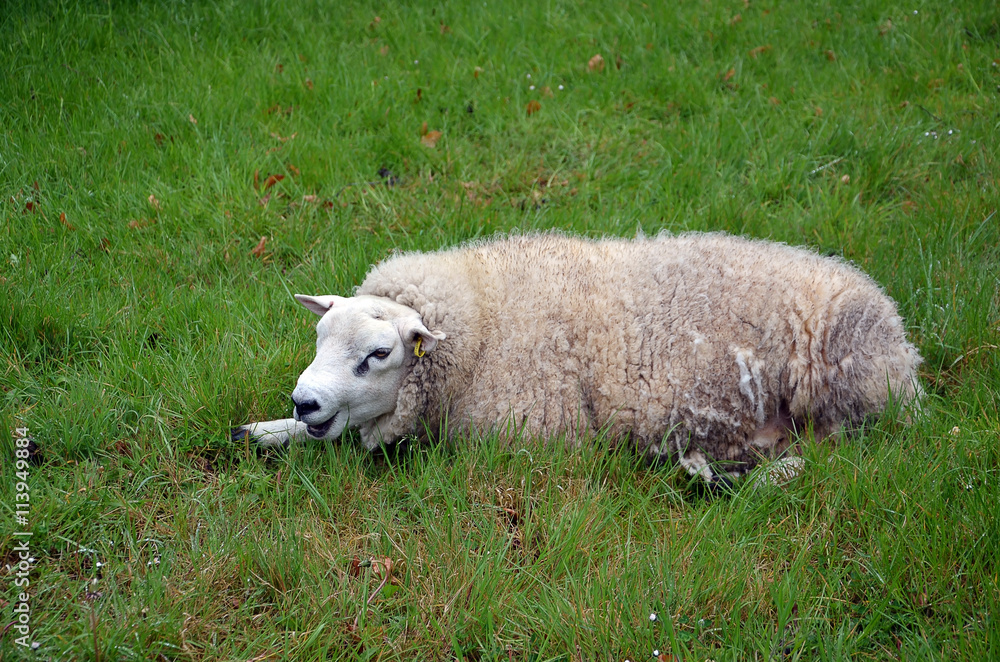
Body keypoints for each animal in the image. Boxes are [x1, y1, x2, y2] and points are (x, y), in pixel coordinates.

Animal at [233, 232, 923, 485]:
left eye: (378, 355)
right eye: (320, 337)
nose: (306, 399)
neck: (482, 327)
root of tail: (901, 342)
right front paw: (263, 429)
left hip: (841, 396)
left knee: (832, 456)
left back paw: (736, 475)